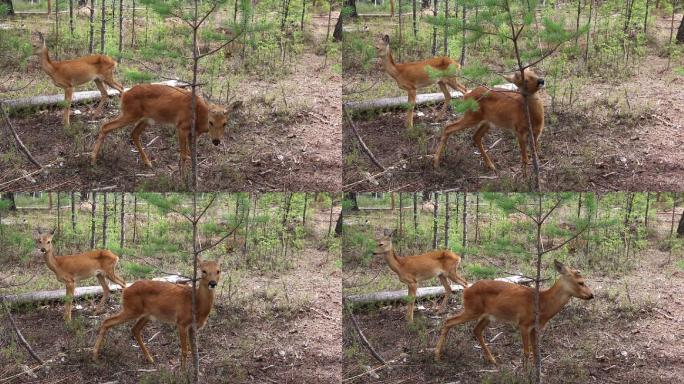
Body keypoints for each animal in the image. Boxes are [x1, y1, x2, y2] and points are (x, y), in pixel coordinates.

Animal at [89, 84, 242, 177]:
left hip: (146, 119)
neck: (199, 115)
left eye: (225, 123)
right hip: (130, 114)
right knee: (105, 126)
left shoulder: (193, 133)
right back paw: (93, 160)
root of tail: (124, 94)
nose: (216, 141)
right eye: (211, 122)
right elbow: (184, 155)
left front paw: (194, 177)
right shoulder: (181, 127)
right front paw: (182, 179)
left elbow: (192, 155)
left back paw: (148, 163)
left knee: (133, 133)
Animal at [92, 256, 222, 368]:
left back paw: (150, 358)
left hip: (146, 315)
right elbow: (184, 350)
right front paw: (183, 373)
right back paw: (94, 355)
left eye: (218, 271)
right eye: (204, 271)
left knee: (134, 329)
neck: (197, 304)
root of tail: (126, 290)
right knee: (107, 321)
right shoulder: (181, 322)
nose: (212, 283)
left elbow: (192, 351)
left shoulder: (193, 327)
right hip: (131, 309)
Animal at [438, 260, 592, 364]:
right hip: (472, 309)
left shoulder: (534, 328)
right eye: (581, 282)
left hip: (488, 315)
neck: (542, 304)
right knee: (448, 321)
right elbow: (526, 352)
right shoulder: (523, 323)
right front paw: (526, 374)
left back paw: (491, 359)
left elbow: (535, 352)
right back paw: (436, 355)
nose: (592, 295)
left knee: (476, 330)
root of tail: (466, 290)